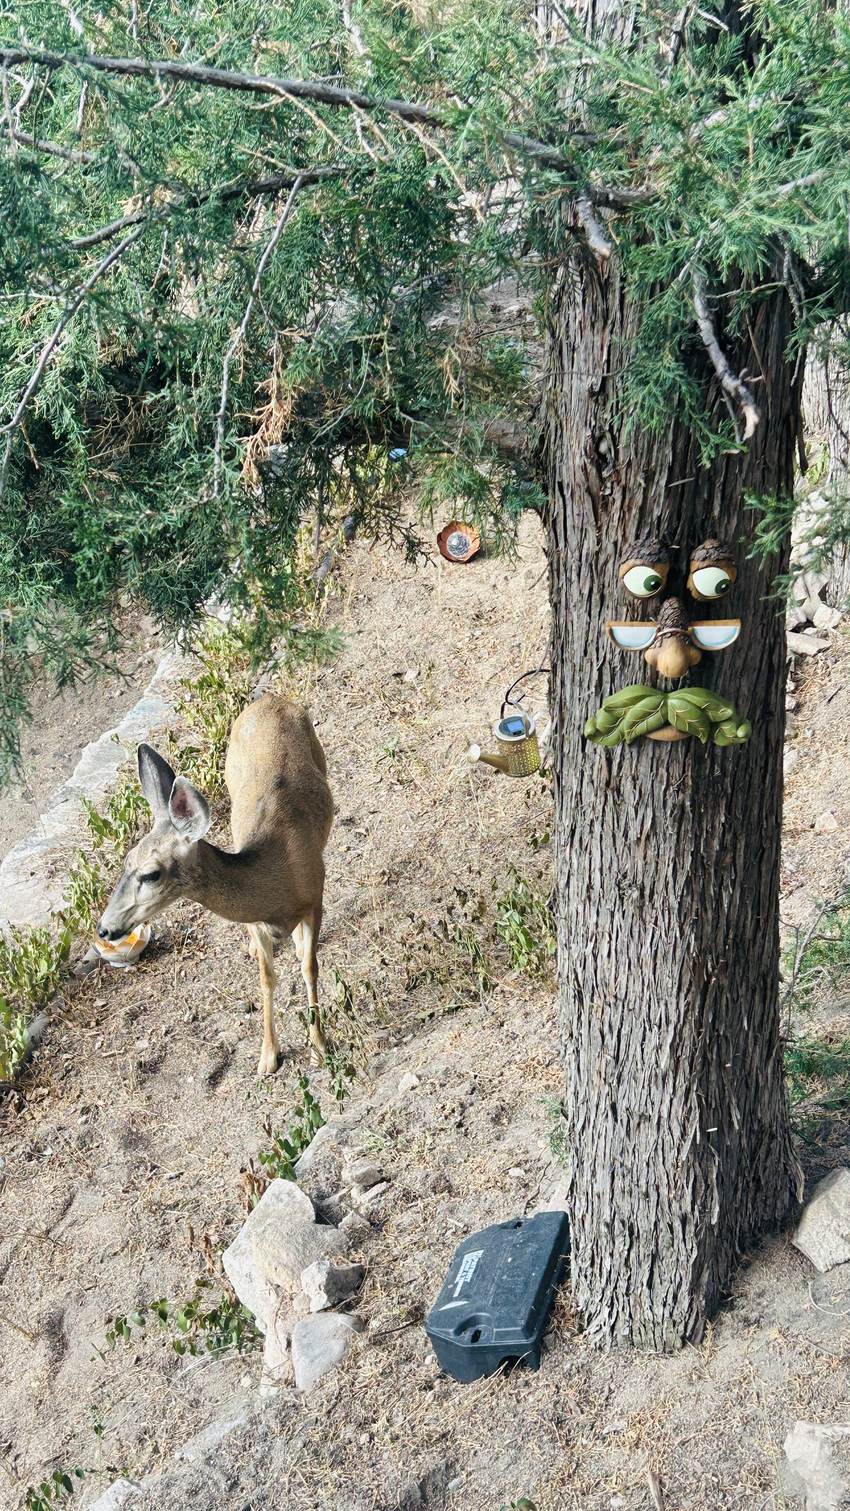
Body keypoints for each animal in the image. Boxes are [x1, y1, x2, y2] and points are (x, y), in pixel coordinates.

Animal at [95, 694, 334, 1077]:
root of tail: (269, 698)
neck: (277, 878)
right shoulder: (256, 923)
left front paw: (319, 1048)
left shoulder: (315, 896)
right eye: (126, 861)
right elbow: (266, 978)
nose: (104, 928)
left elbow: (309, 967)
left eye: (151, 874)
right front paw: (267, 1056)